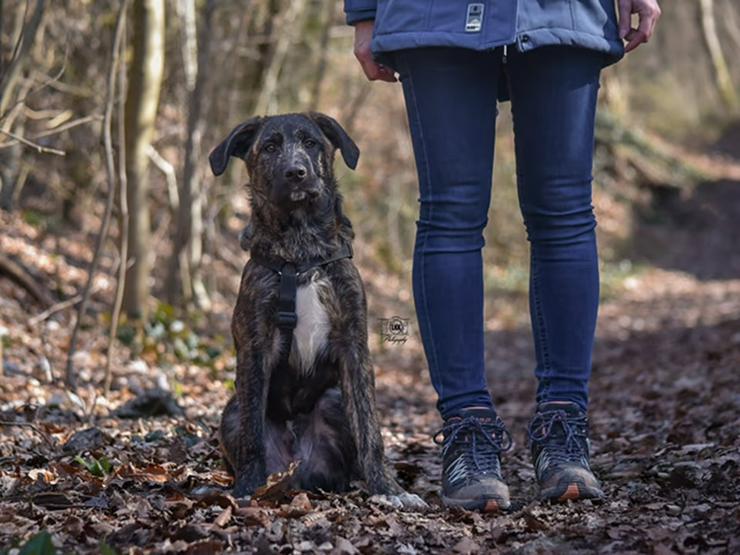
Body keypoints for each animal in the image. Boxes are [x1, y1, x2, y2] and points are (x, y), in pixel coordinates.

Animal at [211, 111, 424, 510]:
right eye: (270, 147)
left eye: (310, 143)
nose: (296, 172)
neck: (301, 251)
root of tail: (296, 469)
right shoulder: (255, 347)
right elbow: (252, 433)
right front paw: (247, 486)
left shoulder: (353, 344)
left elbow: (371, 431)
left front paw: (389, 489)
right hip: (231, 411)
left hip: (334, 400)